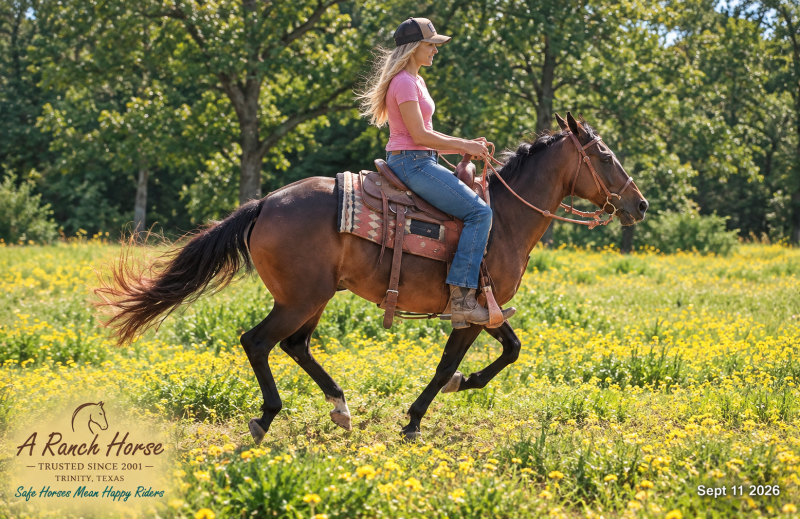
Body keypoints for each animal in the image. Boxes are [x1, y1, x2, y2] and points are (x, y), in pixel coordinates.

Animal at [94, 113, 648, 443]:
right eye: (604, 156)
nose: (639, 204)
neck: (504, 219)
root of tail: (266, 203)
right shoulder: (471, 312)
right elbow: (451, 366)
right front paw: (418, 418)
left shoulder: (487, 310)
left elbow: (510, 349)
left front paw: (457, 389)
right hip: (300, 298)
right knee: (258, 341)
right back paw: (267, 415)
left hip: (313, 297)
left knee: (295, 345)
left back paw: (340, 407)